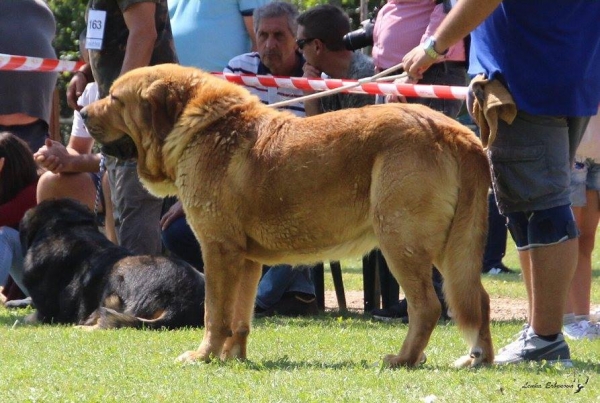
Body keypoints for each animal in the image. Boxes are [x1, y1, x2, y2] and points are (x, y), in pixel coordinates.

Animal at [82, 64, 494, 370]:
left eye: (115, 98)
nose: (82, 112)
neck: (198, 128)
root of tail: (457, 133)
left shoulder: (217, 251)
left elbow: (214, 312)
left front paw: (203, 356)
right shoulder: (246, 260)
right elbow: (240, 317)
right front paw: (232, 358)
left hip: (400, 242)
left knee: (427, 307)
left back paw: (404, 359)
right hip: (449, 249)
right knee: (477, 300)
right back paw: (478, 359)